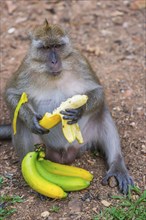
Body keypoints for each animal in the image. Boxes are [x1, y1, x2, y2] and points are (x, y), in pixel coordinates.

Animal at [1, 20, 133, 192]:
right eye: (45, 48)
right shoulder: (26, 68)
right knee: (18, 118)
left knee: (102, 111)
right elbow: (11, 94)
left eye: (57, 46)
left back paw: (117, 165)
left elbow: (98, 92)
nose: (54, 61)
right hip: (46, 149)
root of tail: (64, 154)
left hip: (83, 141)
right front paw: (32, 120)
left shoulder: (81, 62)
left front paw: (78, 111)